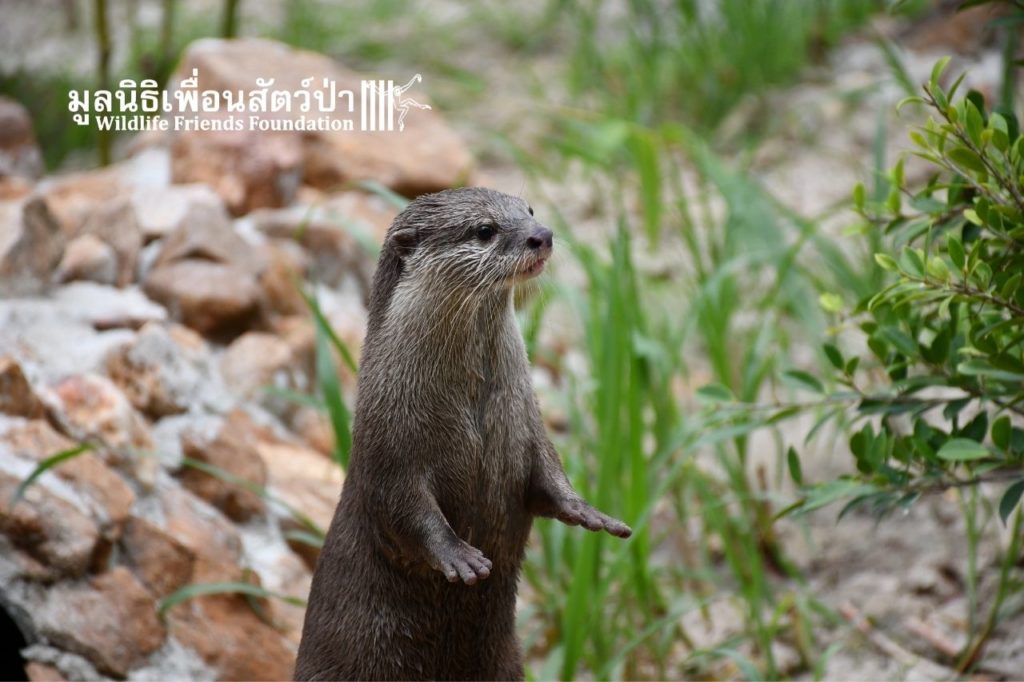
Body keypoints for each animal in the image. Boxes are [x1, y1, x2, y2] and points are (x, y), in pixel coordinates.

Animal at [294, 187, 631, 681]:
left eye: (529, 210)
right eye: (485, 230)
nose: (542, 235)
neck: (472, 406)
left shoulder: (527, 427)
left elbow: (548, 475)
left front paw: (587, 510)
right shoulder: (386, 445)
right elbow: (401, 506)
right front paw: (458, 555)